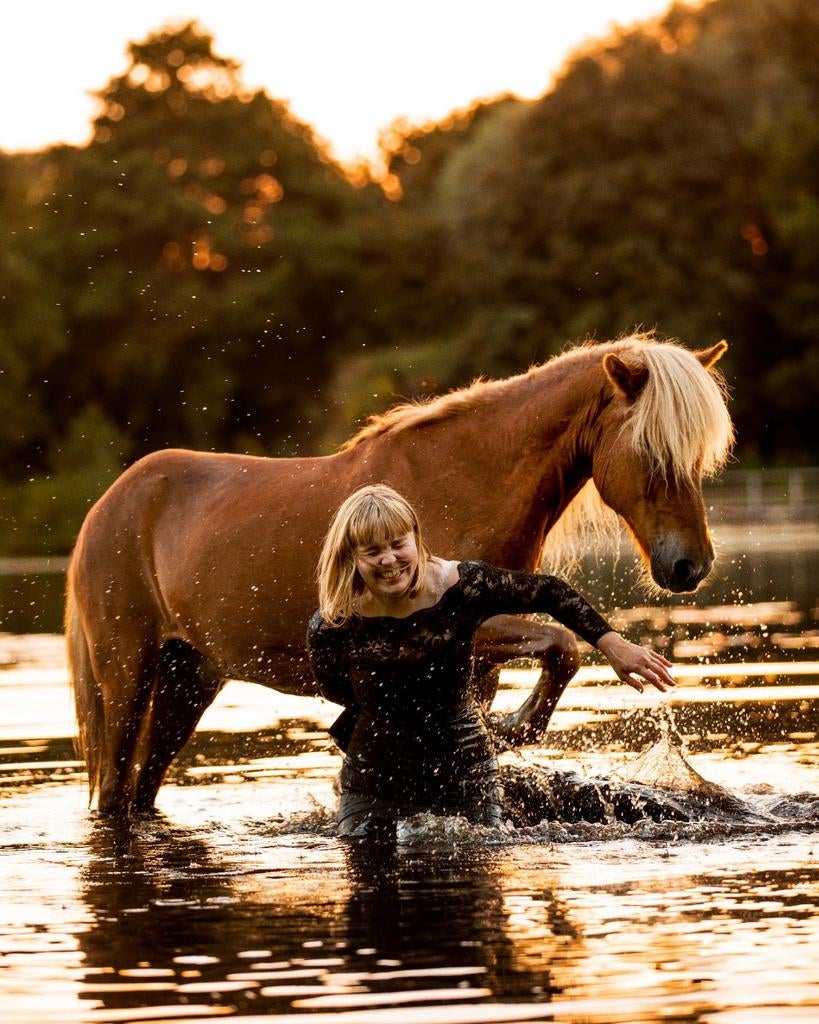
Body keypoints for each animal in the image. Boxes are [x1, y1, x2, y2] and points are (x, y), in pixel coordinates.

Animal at [66, 335, 733, 814]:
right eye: (651, 451)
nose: (690, 566)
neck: (467, 479)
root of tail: (107, 506)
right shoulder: (468, 626)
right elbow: (564, 643)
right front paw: (513, 728)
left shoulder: (479, 654)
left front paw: (504, 732)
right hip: (127, 678)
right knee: (115, 792)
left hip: (189, 680)